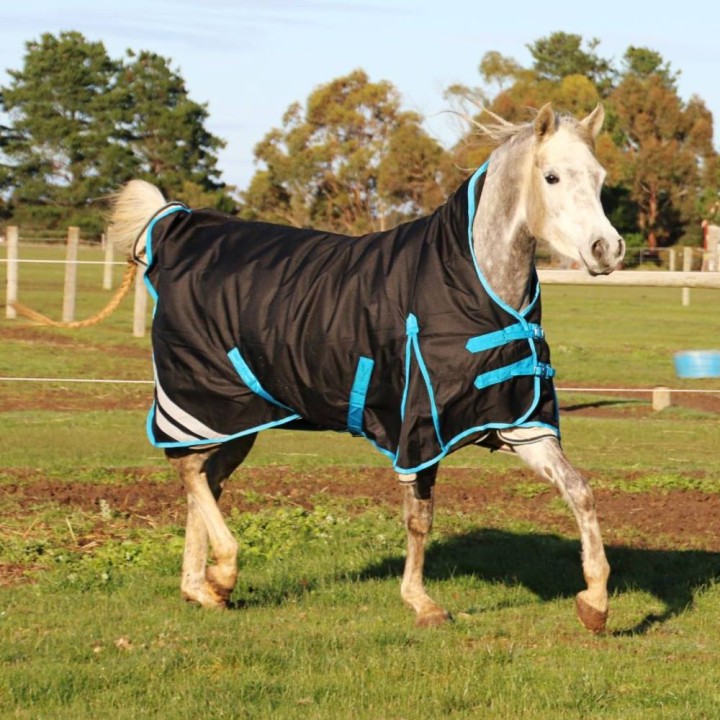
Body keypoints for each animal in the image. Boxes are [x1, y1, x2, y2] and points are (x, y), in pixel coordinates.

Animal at [106, 102, 624, 632]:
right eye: (552, 176)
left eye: (600, 177)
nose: (607, 248)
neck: (474, 282)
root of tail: (177, 229)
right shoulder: (418, 432)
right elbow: (419, 518)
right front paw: (421, 602)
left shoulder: (520, 424)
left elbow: (580, 491)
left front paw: (595, 601)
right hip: (202, 403)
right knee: (190, 468)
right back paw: (223, 572)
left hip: (242, 420)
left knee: (206, 479)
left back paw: (201, 586)